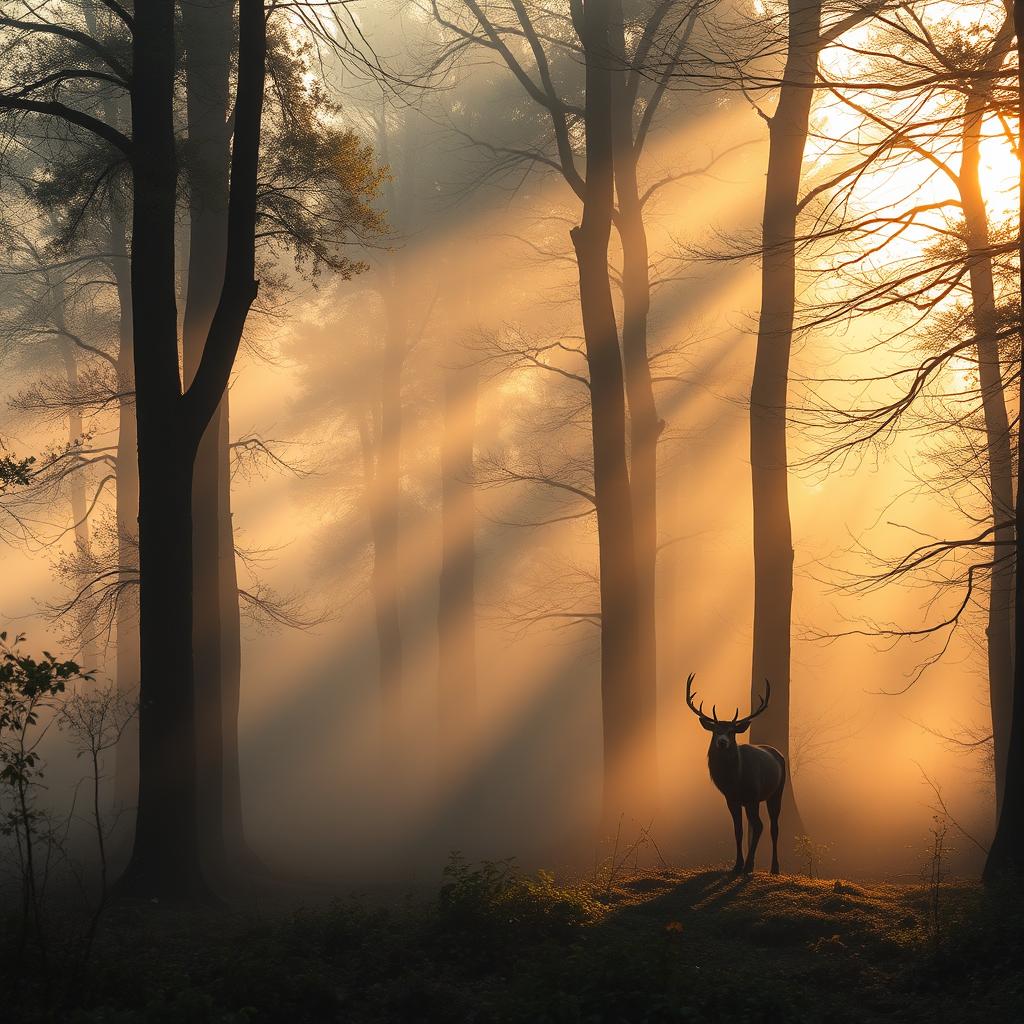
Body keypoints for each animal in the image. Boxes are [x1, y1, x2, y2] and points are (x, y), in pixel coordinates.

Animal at [688, 675, 782, 876]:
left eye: (731, 732)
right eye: (715, 731)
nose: (722, 742)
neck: (735, 780)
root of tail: (778, 753)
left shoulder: (752, 795)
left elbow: (758, 826)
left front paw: (746, 866)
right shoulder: (731, 798)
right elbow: (738, 830)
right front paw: (737, 865)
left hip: (776, 792)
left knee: (771, 827)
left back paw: (774, 868)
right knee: (755, 826)